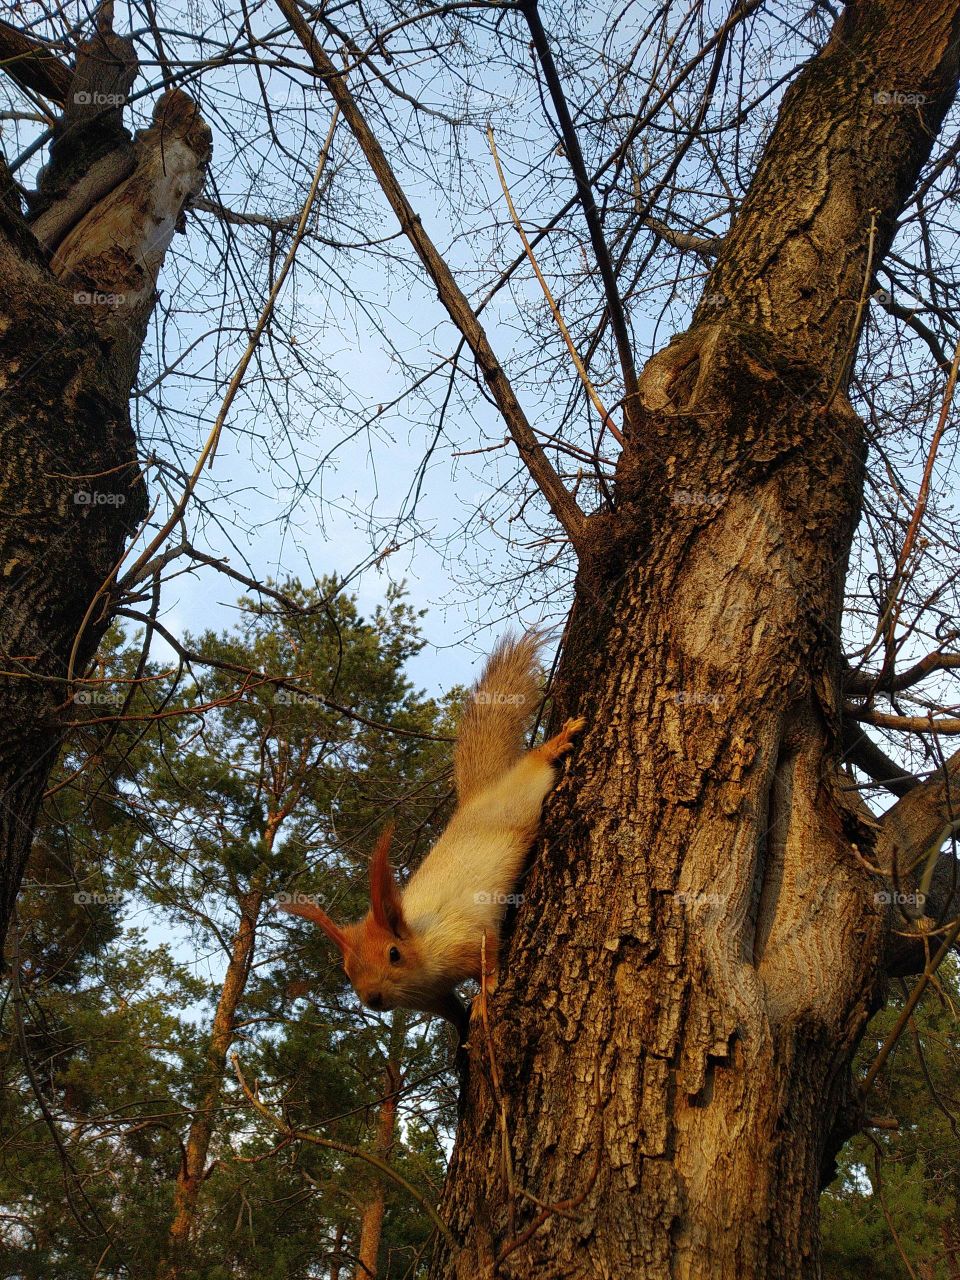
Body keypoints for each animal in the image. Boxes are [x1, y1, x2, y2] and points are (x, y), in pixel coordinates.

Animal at [278, 633, 584, 1035]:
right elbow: (450, 1011)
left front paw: (484, 995)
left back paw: (557, 742)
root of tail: (477, 799)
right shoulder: (432, 997)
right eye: (347, 972)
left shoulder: (462, 938)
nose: (373, 999)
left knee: (534, 765)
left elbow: (486, 956)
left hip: (524, 797)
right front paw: (462, 1032)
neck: (420, 950)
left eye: (393, 954)